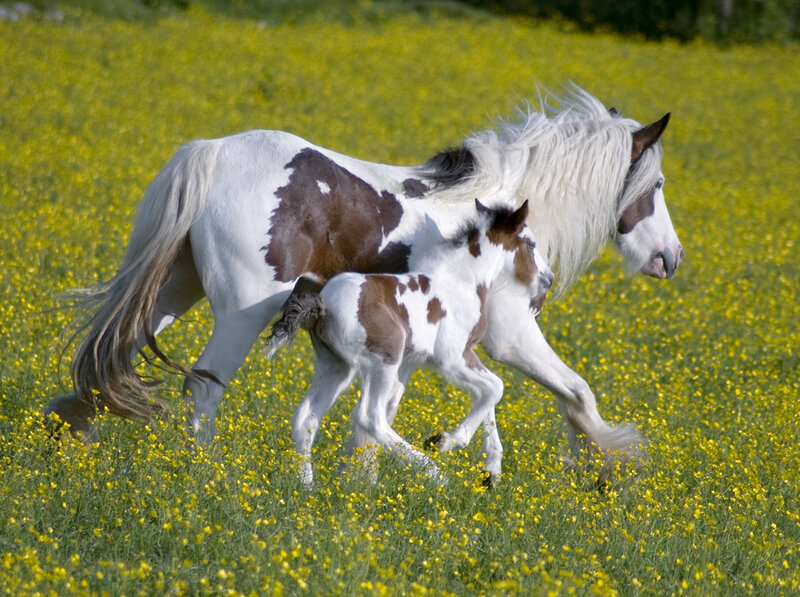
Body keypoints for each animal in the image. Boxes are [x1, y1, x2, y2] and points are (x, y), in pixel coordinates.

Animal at [265, 199, 553, 487]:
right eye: (531, 244)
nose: (547, 280)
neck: (462, 283)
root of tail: (323, 303)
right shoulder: (451, 359)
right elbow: (496, 388)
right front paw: (444, 441)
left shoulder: (466, 354)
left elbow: (487, 396)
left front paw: (490, 470)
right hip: (385, 357)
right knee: (370, 417)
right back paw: (433, 472)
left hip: (336, 365)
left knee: (306, 417)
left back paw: (307, 486)